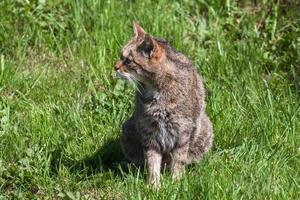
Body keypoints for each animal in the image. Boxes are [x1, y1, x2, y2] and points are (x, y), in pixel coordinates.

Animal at [115, 22, 213, 188]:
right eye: (121, 56)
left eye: (128, 60)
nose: (115, 67)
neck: (155, 89)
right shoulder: (148, 130)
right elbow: (152, 161)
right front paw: (153, 185)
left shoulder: (183, 130)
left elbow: (178, 160)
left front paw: (176, 183)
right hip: (129, 129)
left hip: (204, 129)